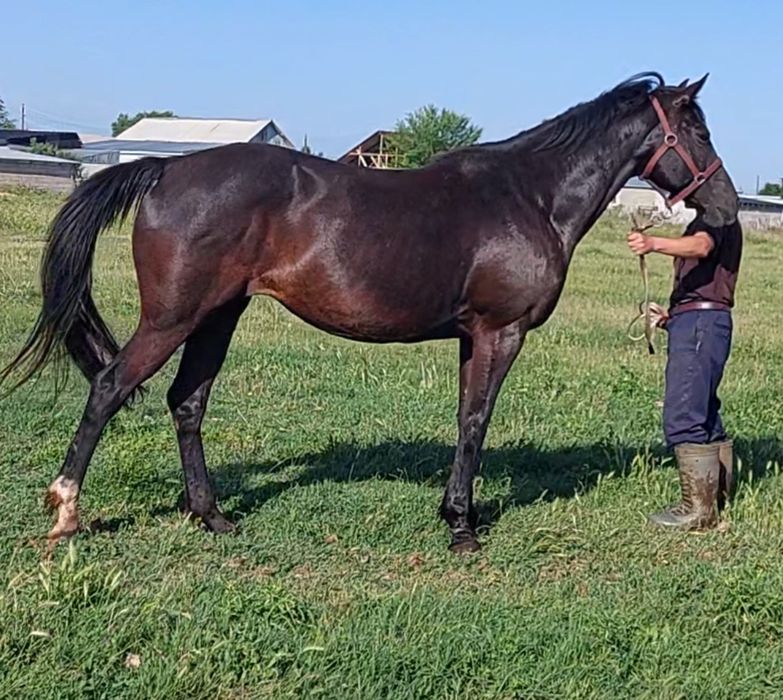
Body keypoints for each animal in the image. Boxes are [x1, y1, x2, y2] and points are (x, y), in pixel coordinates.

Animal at [1, 73, 739, 554]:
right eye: (697, 129)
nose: (726, 206)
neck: (528, 196)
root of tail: (165, 169)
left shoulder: (471, 336)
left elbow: (463, 419)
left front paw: (453, 514)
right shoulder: (499, 332)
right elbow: (475, 422)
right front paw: (463, 528)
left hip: (217, 316)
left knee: (187, 402)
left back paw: (212, 518)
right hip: (171, 318)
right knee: (108, 389)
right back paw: (65, 512)